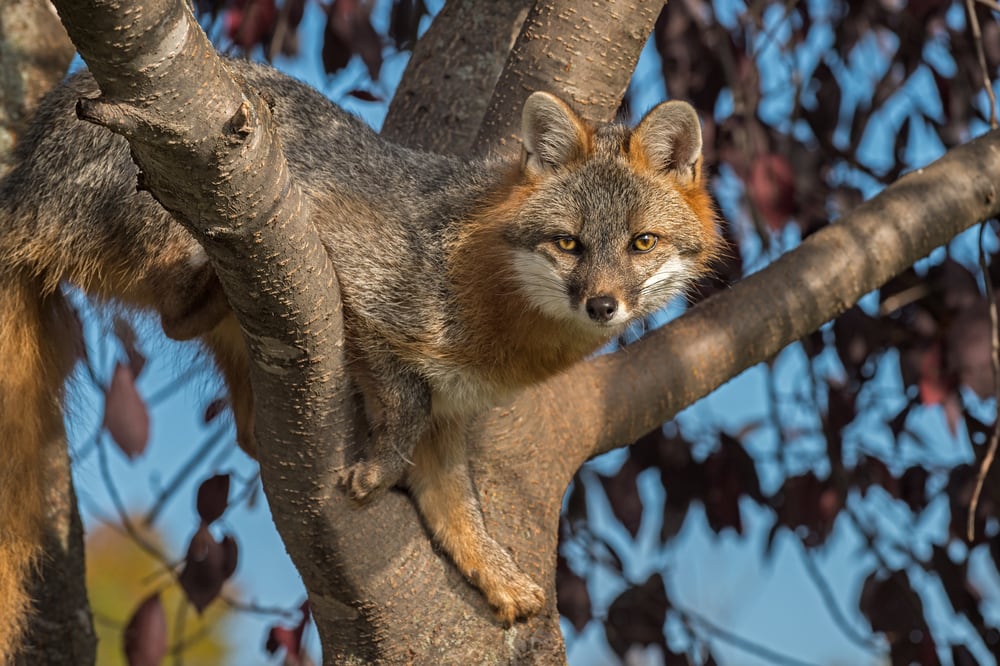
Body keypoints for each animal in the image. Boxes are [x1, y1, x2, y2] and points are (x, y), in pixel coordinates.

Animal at [0, 57, 718, 660]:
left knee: (239, 415)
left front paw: (497, 575)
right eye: (569, 244)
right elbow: (406, 398)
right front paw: (378, 469)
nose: (603, 305)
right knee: (179, 318)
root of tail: (25, 176)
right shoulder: (354, 271)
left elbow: (458, 507)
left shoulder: (452, 417)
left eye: (641, 243)